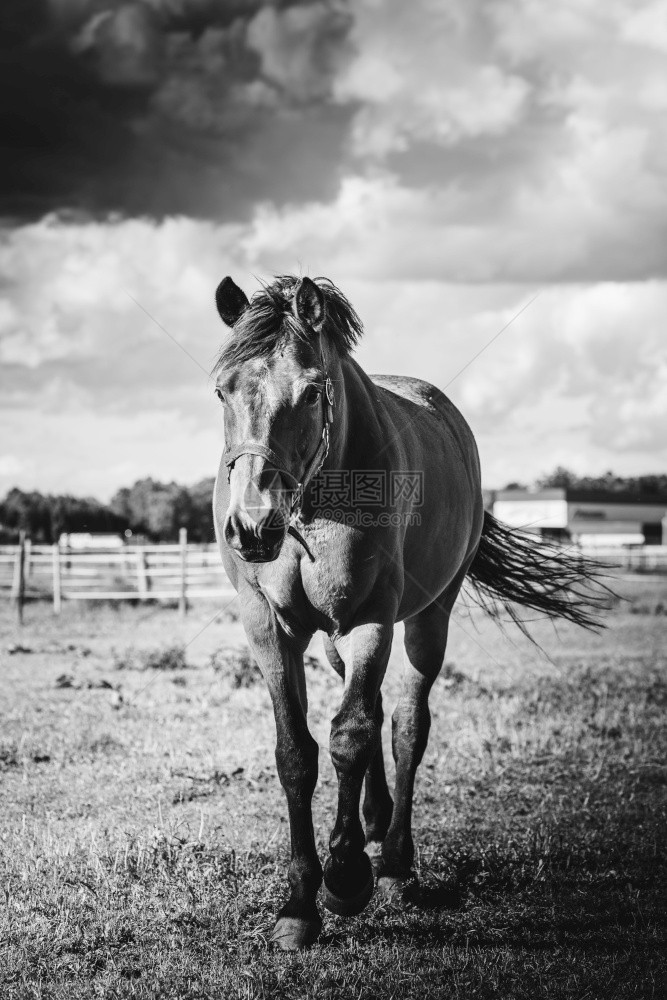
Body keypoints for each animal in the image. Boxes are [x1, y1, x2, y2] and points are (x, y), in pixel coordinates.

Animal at [213, 278, 604, 948]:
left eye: (312, 391)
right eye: (223, 389)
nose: (252, 525)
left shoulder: (370, 619)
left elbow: (350, 737)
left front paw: (345, 880)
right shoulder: (270, 629)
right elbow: (297, 753)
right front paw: (299, 906)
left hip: (427, 619)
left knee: (404, 726)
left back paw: (393, 863)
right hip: (334, 641)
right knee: (369, 712)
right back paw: (374, 824)